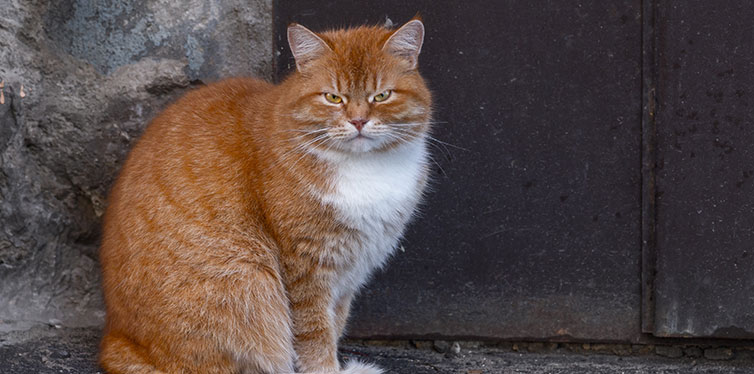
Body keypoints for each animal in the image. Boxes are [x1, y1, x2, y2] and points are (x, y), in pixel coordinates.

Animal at [97, 18, 432, 374]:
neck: (364, 167)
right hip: (247, 278)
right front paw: (326, 368)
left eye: (382, 95)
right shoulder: (306, 265)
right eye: (333, 97)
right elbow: (315, 333)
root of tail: (118, 340)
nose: (358, 120)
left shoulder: (349, 270)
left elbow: (336, 321)